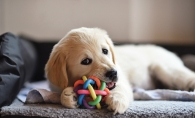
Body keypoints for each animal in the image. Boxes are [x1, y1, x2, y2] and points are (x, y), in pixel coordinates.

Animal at [45, 27, 195, 114]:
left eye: (105, 51)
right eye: (86, 61)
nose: (113, 73)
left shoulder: (122, 81)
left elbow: (120, 89)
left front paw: (117, 100)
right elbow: (61, 94)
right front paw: (69, 96)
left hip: (165, 69)